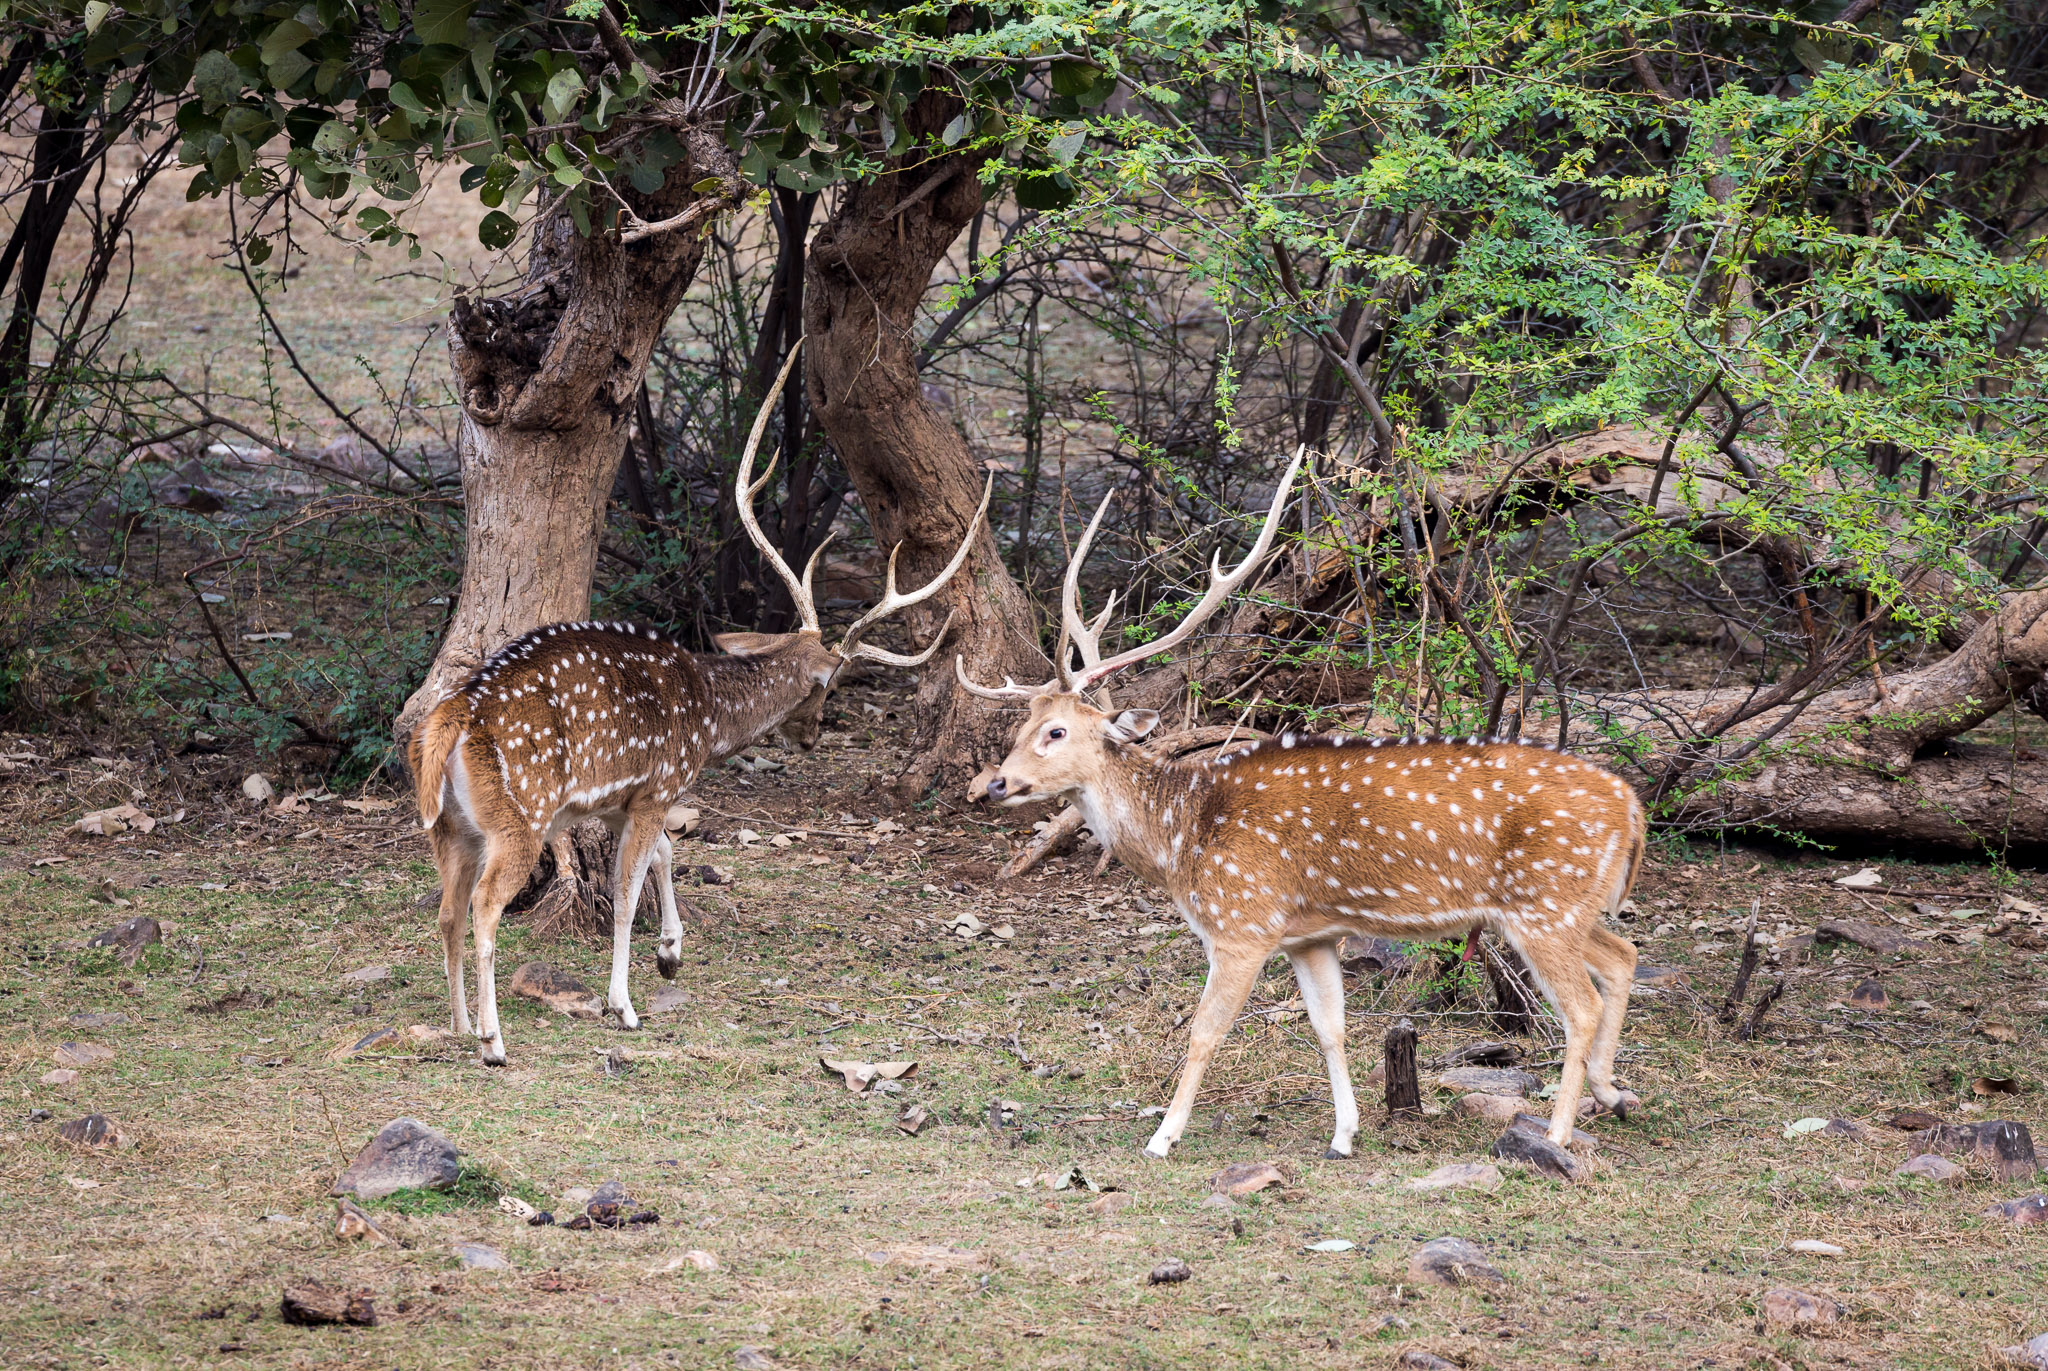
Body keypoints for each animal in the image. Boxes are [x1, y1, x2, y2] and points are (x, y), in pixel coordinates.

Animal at [411, 350, 987, 1057]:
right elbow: (626, 890)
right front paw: (625, 1004)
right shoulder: (658, 783)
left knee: (446, 910)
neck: (707, 721)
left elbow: (666, 853)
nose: (812, 735)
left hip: (448, 824)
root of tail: (453, 718)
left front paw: (671, 954)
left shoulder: (622, 800)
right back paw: (492, 1039)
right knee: (486, 907)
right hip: (518, 817)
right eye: (827, 685)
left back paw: (461, 1024)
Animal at [958, 457, 1646, 1155]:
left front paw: (1163, 1137)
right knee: (1624, 957)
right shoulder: (1309, 935)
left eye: (1057, 732)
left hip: (1546, 906)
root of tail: (1633, 806)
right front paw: (1344, 1134)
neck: (1181, 838)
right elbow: (1330, 1028)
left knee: (1583, 1003)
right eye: (1022, 725)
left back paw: (1557, 1134)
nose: (996, 784)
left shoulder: (1243, 923)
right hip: (1563, 909)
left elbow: (1204, 1030)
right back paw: (1613, 1094)